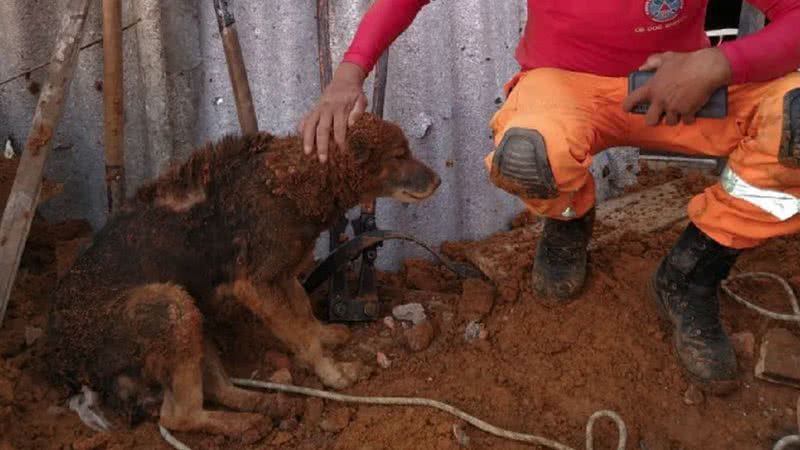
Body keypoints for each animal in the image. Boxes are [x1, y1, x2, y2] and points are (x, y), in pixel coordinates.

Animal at [43, 113, 440, 440]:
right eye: (399, 155)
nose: (438, 181)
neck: (292, 181)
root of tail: (67, 361)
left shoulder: (282, 272)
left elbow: (305, 317)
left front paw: (326, 336)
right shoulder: (256, 285)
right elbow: (301, 336)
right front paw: (332, 374)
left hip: (192, 315)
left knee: (217, 390)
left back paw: (268, 406)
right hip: (171, 307)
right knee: (177, 416)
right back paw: (242, 424)